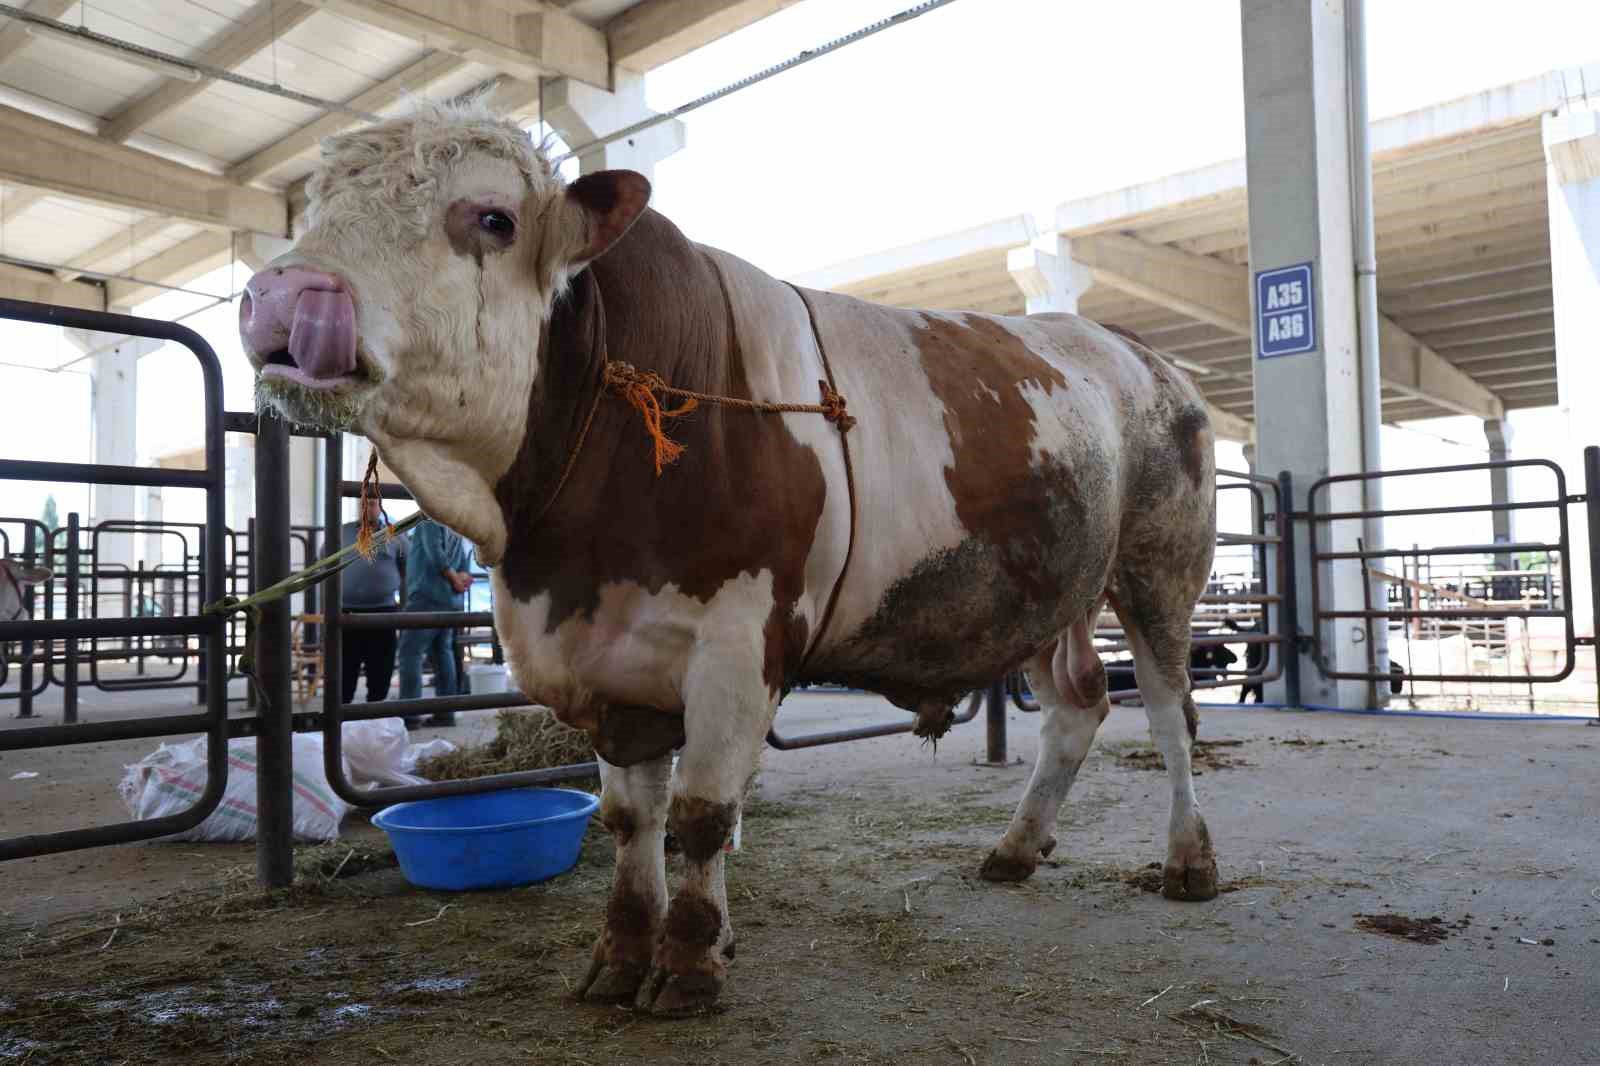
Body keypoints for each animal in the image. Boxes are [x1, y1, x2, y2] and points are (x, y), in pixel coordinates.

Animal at [236, 101, 1216, 1011]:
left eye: (492, 218)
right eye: (318, 206)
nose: (284, 294)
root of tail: (1134, 350)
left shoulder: (739, 644)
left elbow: (702, 817)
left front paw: (689, 965)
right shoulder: (611, 660)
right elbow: (631, 819)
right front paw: (621, 955)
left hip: (1160, 568)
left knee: (1170, 713)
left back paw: (1189, 860)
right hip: (1051, 596)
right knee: (1079, 704)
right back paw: (1015, 848)